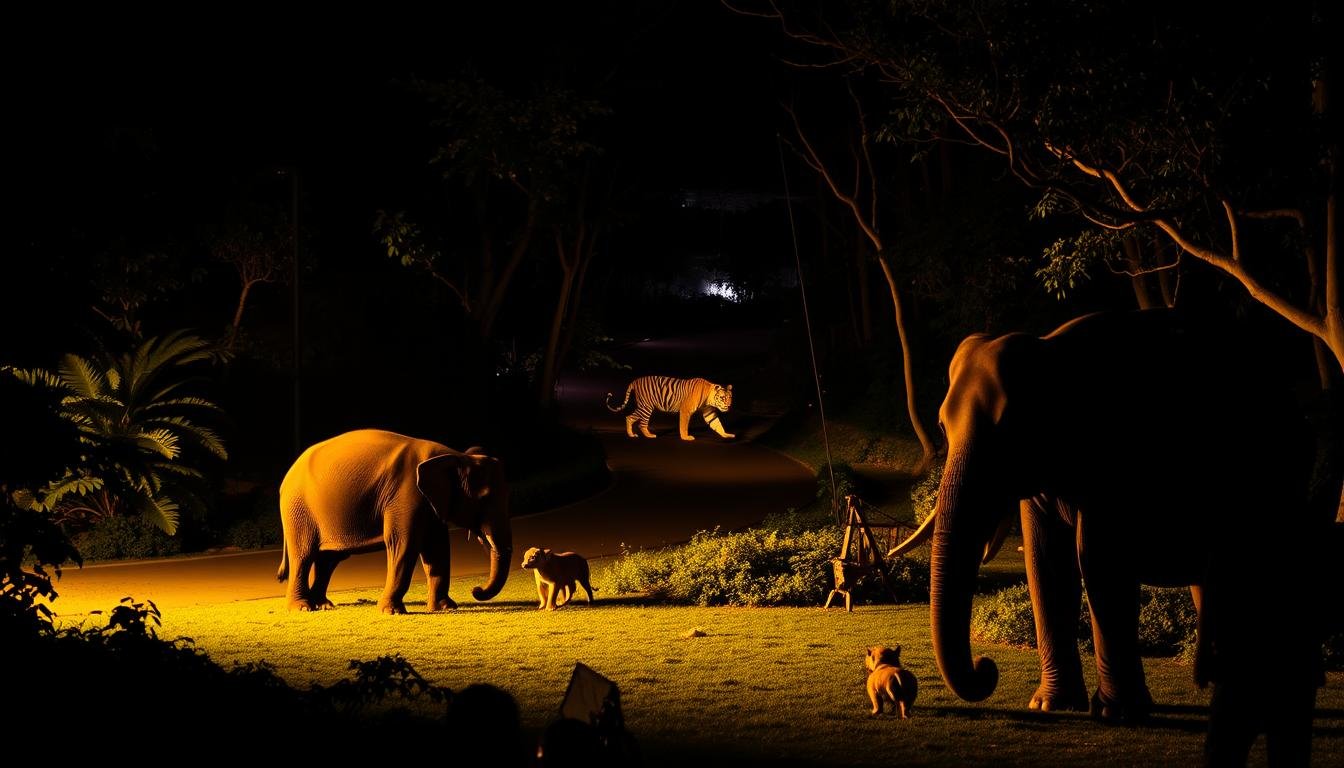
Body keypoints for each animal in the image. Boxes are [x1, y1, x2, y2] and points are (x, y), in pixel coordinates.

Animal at [277, 429, 512, 615]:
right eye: (484, 497)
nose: (476, 590)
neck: (455, 455)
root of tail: (285, 480)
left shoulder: (428, 503)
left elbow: (437, 548)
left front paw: (445, 608)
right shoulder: (406, 496)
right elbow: (403, 544)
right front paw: (392, 612)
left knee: (329, 559)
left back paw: (323, 605)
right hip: (298, 510)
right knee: (304, 555)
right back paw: (303, 608)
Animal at [604, 375, 735, 441]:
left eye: (730, 398)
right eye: (723, 398)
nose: (729, 406)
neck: (708, 398)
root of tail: (635, 381)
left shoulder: (709, 412)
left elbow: (717, 424)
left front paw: (726, 435)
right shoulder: (685, 411)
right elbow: (683, 425)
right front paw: (685, 437)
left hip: (643, 406)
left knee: (629, 417)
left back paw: (631, 435)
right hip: (646, 407)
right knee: (641, 423)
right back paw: (649, 435)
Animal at [890, 309, 1332, 767]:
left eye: (1011, 430)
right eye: (942, 426)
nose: (985, 667)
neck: (1051, 349)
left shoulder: (1116, 458)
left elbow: (1100, 559)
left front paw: (1115, 714)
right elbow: (1046, 561)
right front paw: (1050, 706)